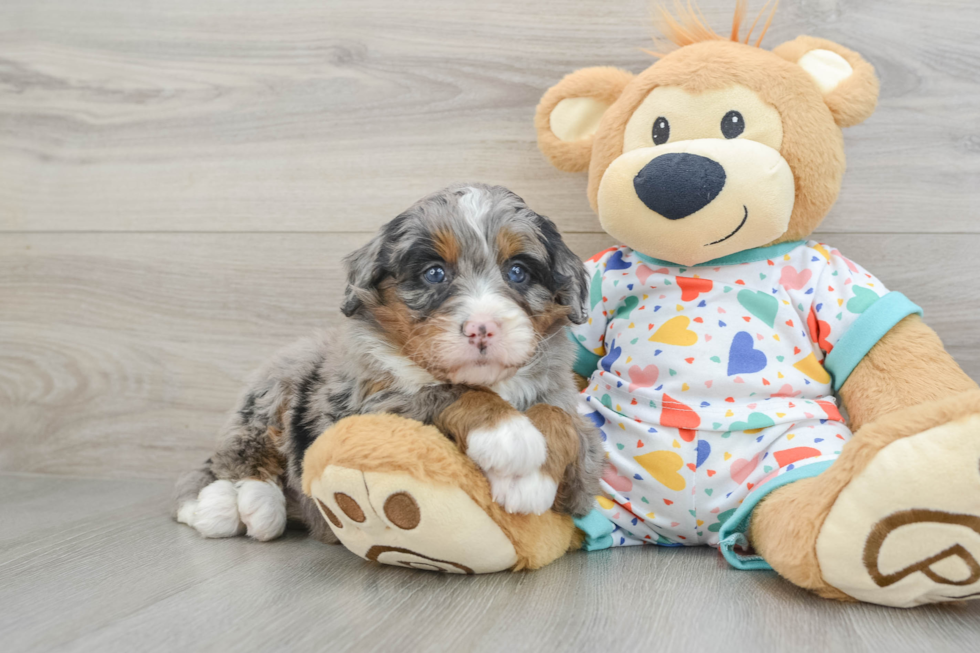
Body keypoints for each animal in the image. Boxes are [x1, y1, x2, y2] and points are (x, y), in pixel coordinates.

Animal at [175, 182, 604, 540]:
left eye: (518, 271)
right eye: (434, 273)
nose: (482, 328)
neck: (490, 382)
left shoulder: (577, 445)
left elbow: (561, 419)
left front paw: (530, 482)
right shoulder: (361, 408)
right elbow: (438, 391)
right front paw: (508, 434)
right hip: (274, 387)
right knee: (237, 457)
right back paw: (236, 506)